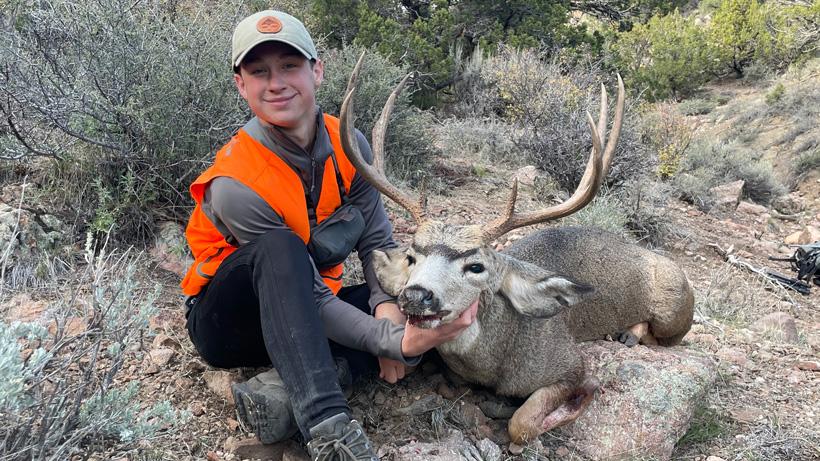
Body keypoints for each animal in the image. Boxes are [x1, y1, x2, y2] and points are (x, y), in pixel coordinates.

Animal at [339, 54, 694, 446]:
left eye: (476, 266)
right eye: (412, 258)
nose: (416, 295)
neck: (496, 361)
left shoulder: (569, 362)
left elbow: (522, 424)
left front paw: (575, 398)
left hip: (673, 309)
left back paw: (630, 333)